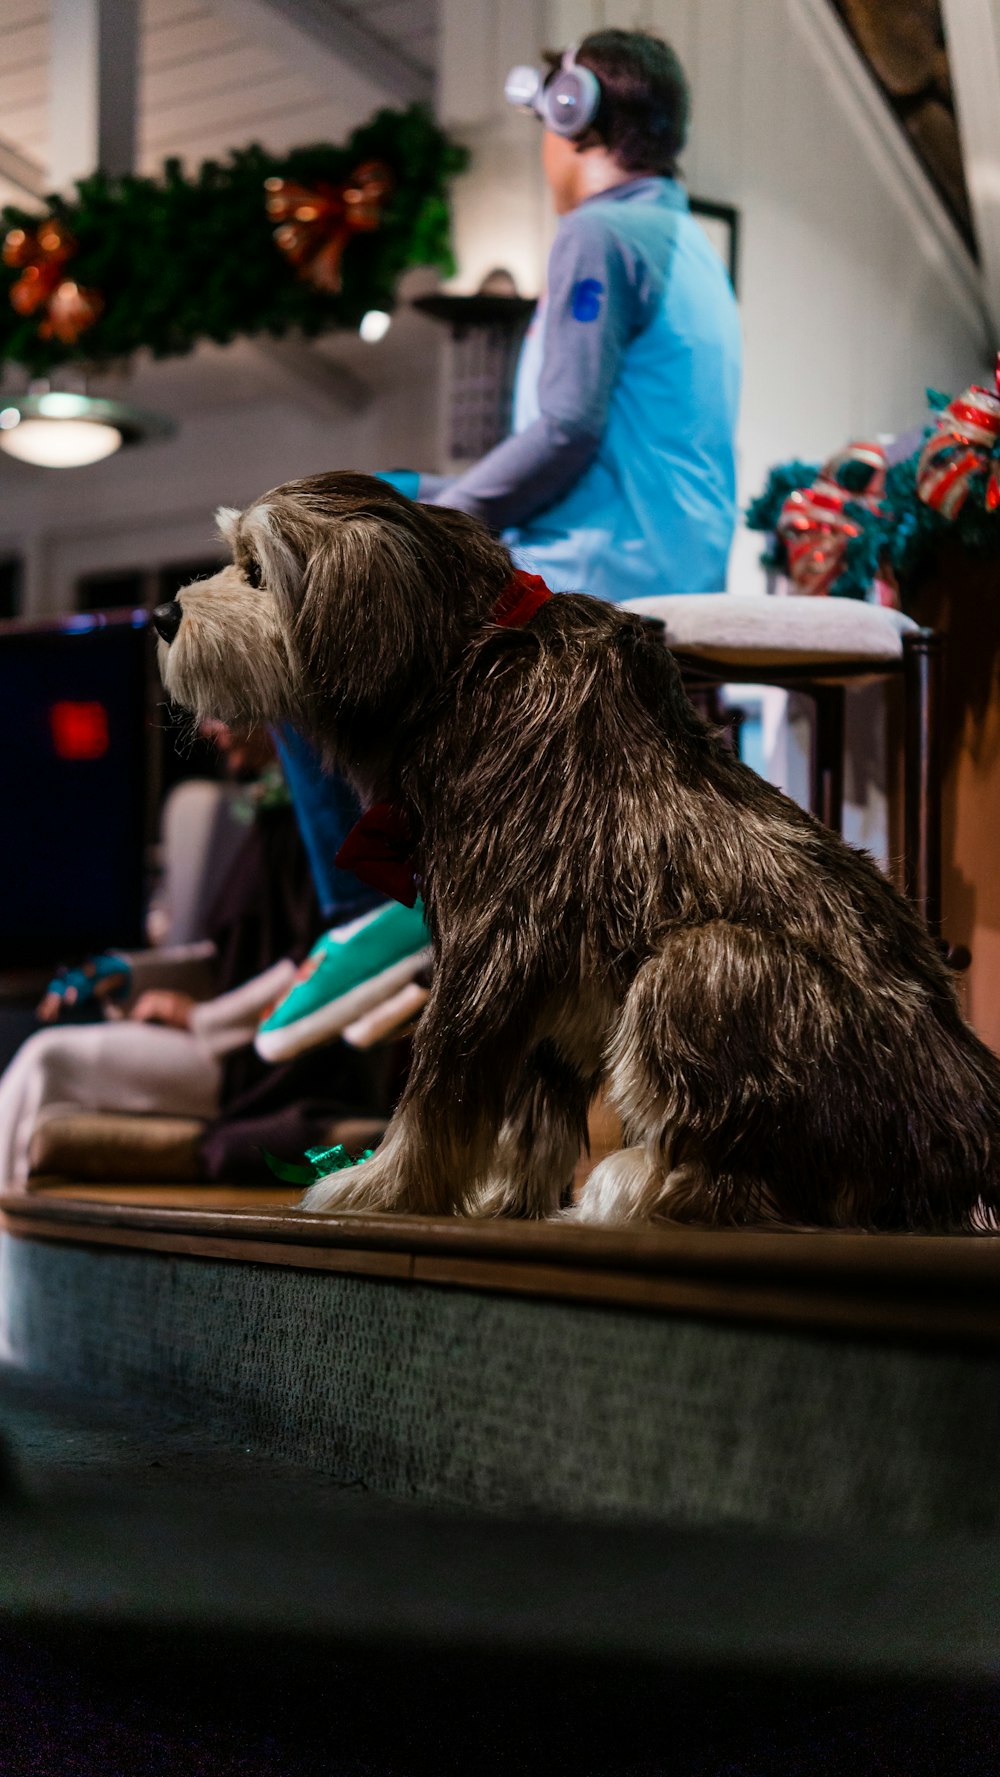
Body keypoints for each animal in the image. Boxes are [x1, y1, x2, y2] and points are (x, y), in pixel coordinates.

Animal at [154, 465, 1000, 1229]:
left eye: (256, 571)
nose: (161, 613)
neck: (467, 666)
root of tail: (970, 1141)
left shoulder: (489, 945)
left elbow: (436, 1098)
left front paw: (384, 1185)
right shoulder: (538, 984)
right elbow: (533, 1116)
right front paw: (505, 1197)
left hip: (701, 961)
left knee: (742, 1185)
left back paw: (642, 1185)